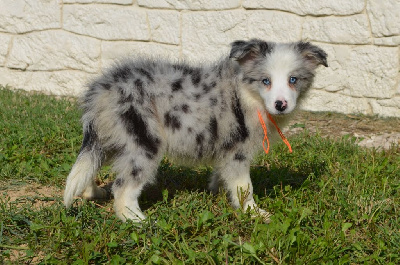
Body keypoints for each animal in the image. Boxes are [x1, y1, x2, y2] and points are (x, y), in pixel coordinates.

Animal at [64, 38, 328, 221]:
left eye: (293, 80)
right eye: (266, 81)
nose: (280, 105)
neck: (247, 94)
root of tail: (100, 89)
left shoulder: (227, 149)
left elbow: (225, 178)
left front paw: (219, 193)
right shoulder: (238, 152)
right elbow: (245, 187)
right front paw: (254, 213)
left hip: (112, 135)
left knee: (91, 164)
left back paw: (92, 193)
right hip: (144, 140)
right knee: (123, 187)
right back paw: (137, 220)